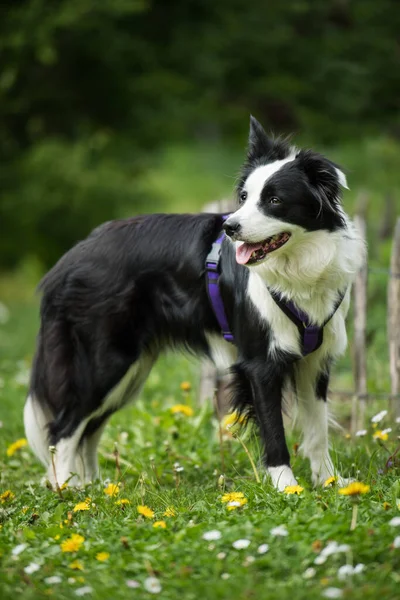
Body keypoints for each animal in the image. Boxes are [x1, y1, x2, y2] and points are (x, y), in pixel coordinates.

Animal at [24, 118, 366, 492]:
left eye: (274, 200)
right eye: (243, 197)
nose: (230, 227)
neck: (298, 269)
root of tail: (69, 258)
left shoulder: (315, 362)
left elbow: (318, 431)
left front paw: (330, 483)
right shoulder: (259, 363)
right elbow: (274, 431)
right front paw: (287, 488)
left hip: (130, 370)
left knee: (89, 428)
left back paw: (94, 489)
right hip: (105, 361)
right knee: (65, 426)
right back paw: (66, 490)